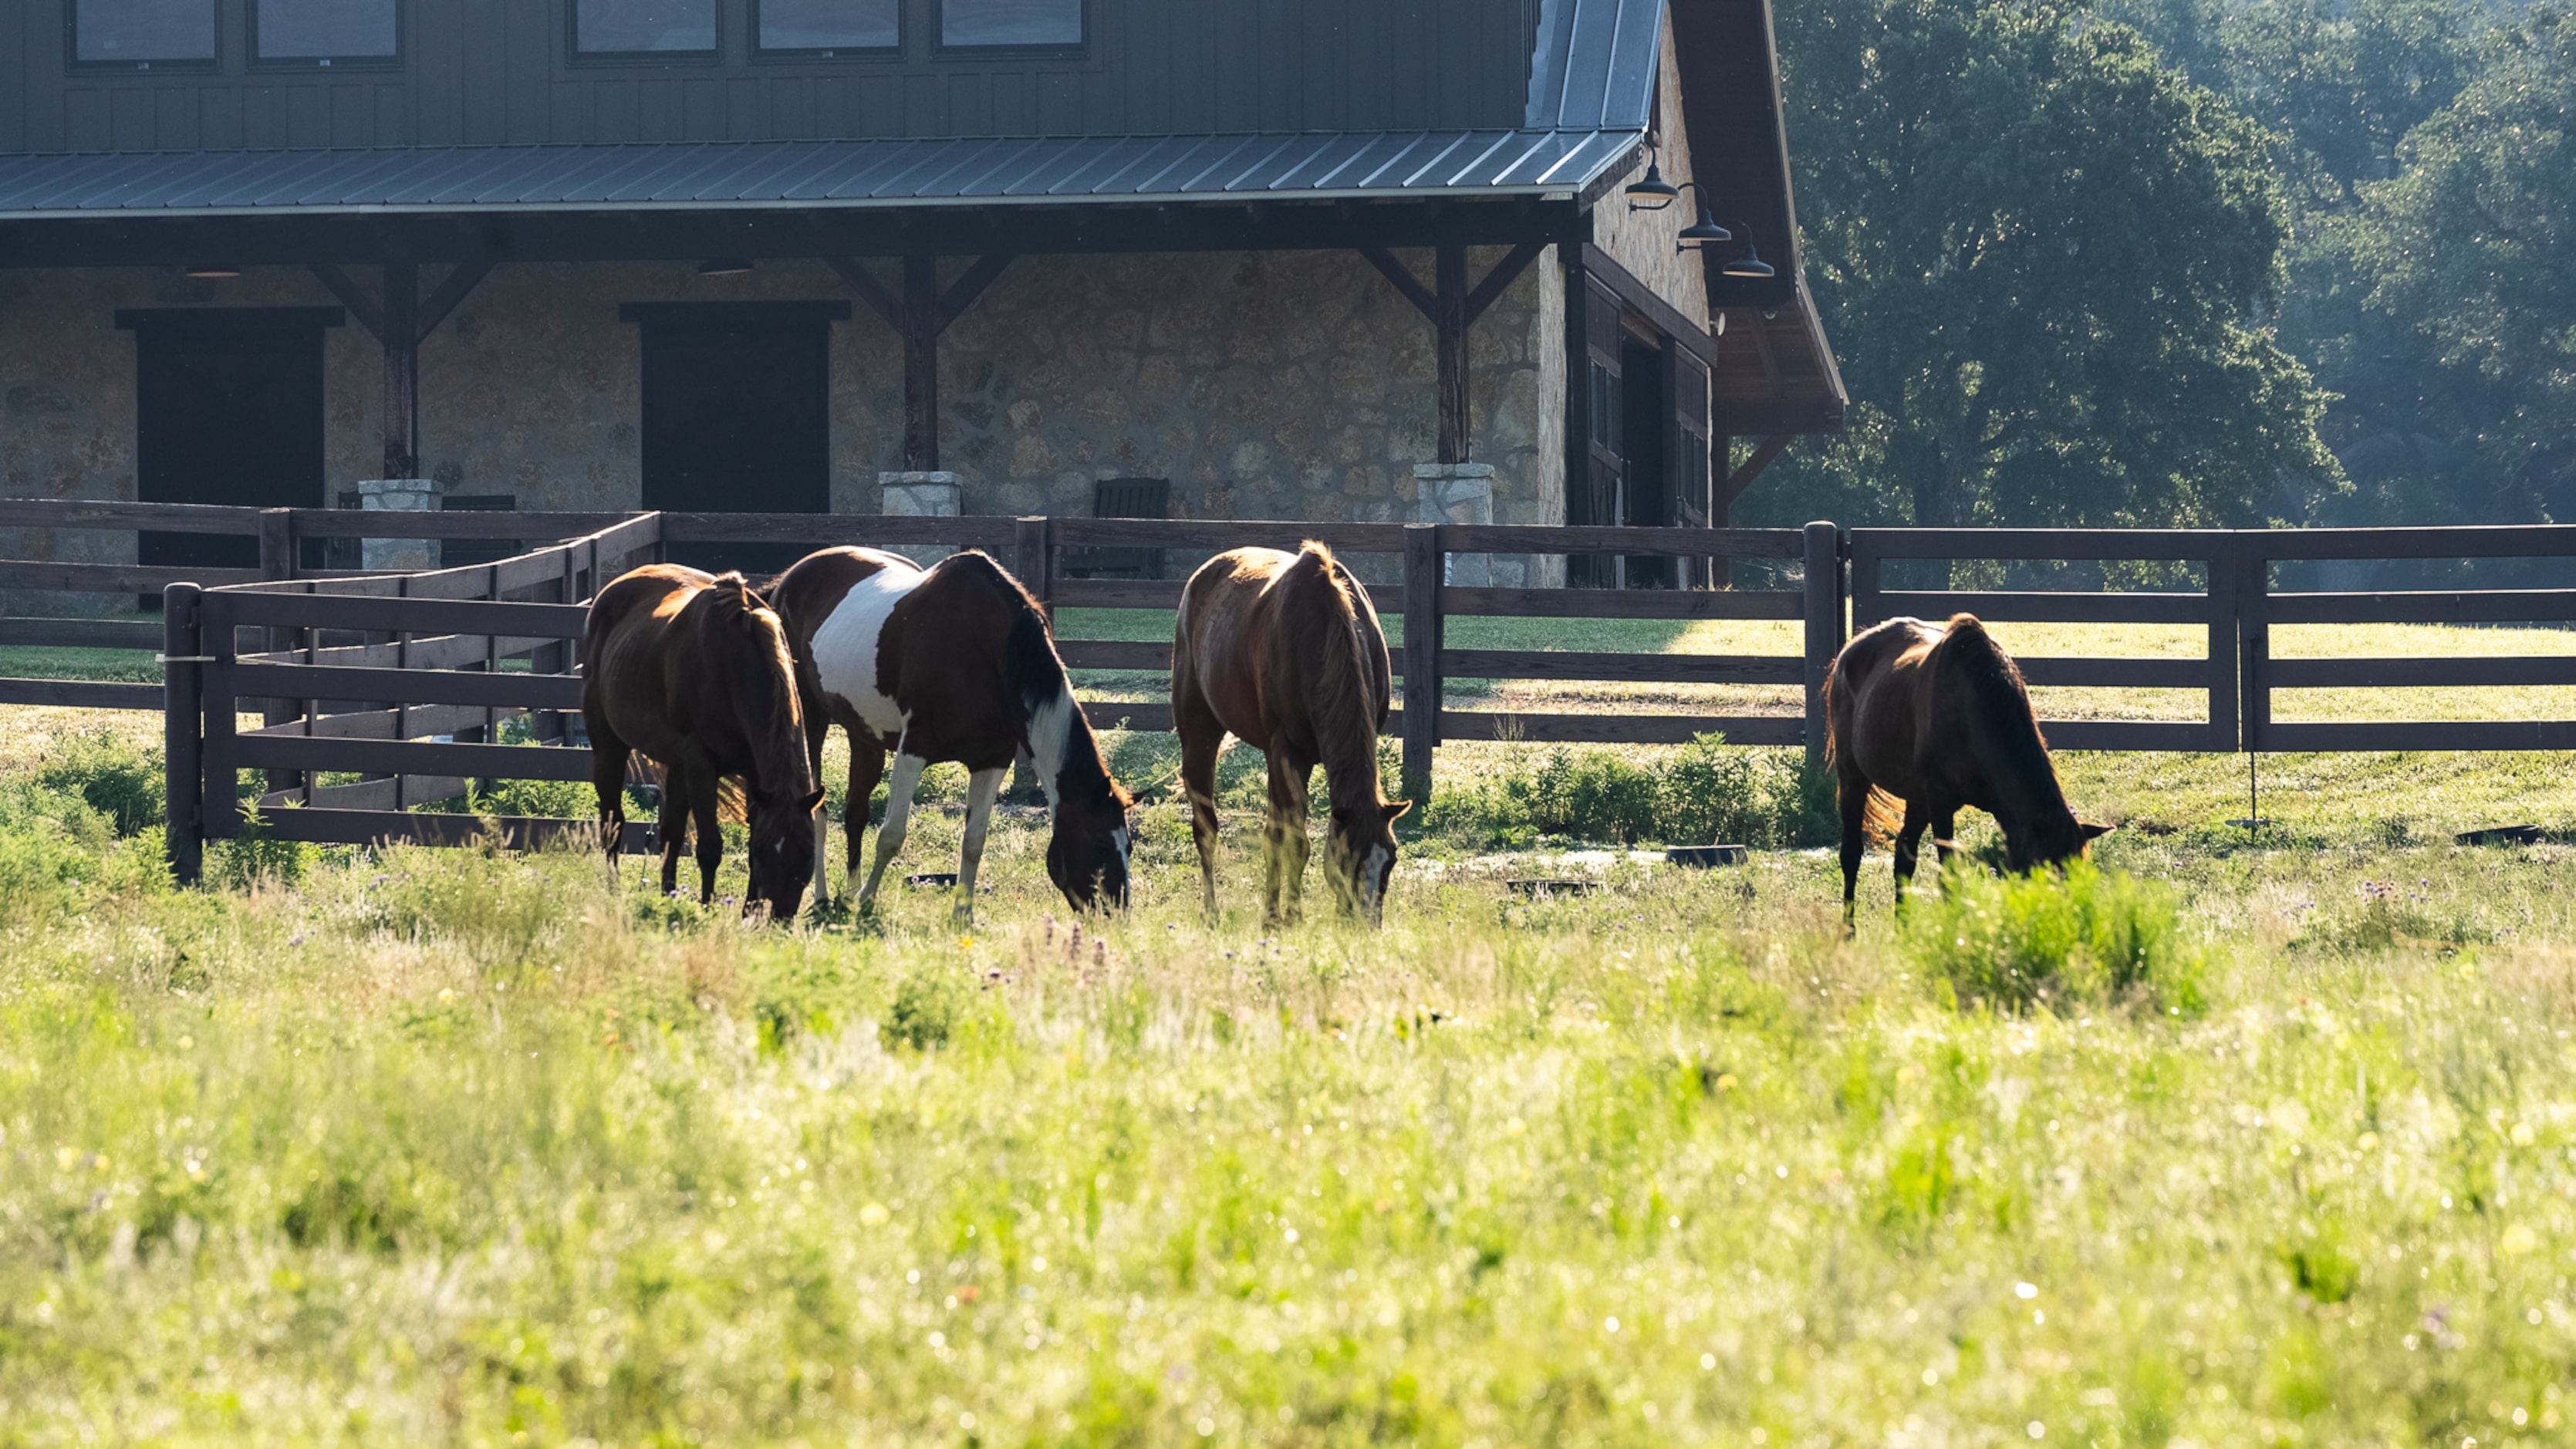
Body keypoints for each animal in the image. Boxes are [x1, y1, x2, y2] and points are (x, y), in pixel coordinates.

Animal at [584, 564, 824, 912]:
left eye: (807, 854)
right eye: (766, 853)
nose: (777, 916)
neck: (734, 666)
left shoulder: (754, 775)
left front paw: (746, 913)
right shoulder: (701, 766)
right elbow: (710, 849)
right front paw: (709, 910)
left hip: (675, 765)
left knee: (670, 833)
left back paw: (667, 895)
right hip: (608, 748)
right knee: (613, 824)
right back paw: (615, 893)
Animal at [762, 541, 1128, 912]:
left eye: (1128, 846)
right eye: (1100, 846)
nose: (1117, 913)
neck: (982, 647)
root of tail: (786, 581)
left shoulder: (992, 761)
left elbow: (974, 842)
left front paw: (962, 914)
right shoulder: (913, 750)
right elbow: (891, 835)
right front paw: (867, 900)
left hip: (865, 734)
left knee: (855, 812)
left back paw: (848, 894)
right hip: (812, 720)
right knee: (818, 811)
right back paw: (824, 896)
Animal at [1174, 541, 1411, 923]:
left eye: (1390, 860)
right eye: (1348, 862)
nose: (1365, 925)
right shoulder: (1287, 752)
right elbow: (1292, 842)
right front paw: (1284, 917)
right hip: (1200, 736)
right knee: (1206, 827)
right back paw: (1212, 912)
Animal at [1824, 608, 2102, 912]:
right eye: (2042, 871)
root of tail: (1849, 650)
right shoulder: (1941, 803)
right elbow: (1948, 878)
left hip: (1916, 798)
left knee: (1903, 859)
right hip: (1853, 776)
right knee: (1851, 855)